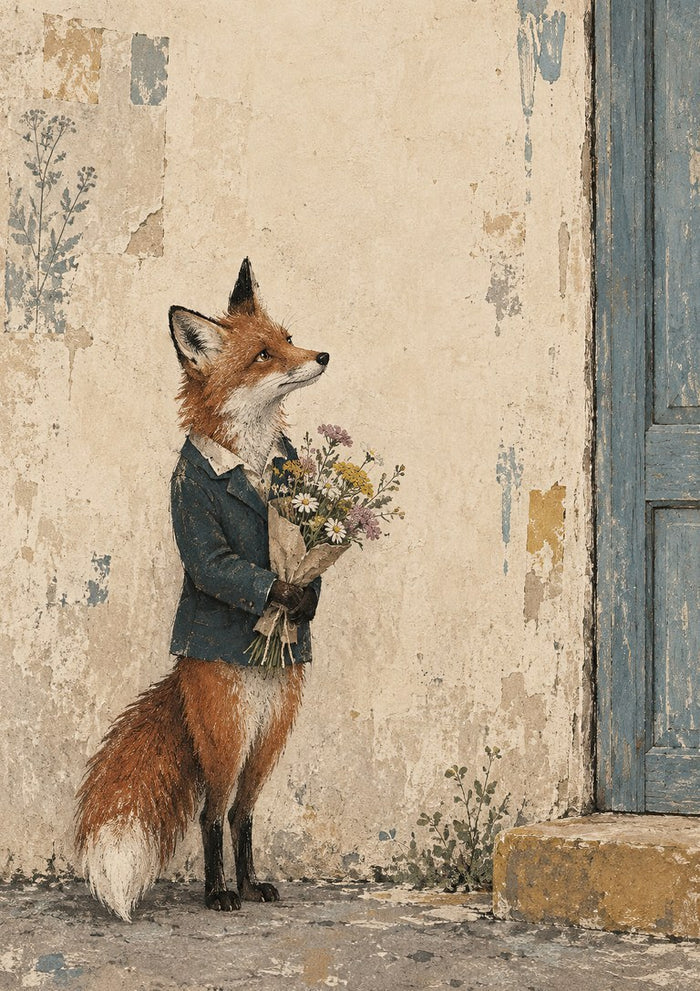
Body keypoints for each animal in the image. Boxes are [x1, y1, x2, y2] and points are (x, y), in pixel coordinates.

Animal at [75, 258, 330, 921]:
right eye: (263, 355)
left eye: (288, 338)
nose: (322, 355)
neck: (256, 459)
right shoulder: (194, 505)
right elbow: (221, 564)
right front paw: (285, 598)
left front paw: (304, 600)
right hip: (227, 737)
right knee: (212, 814)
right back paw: (219, 892)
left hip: (269, 737)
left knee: (242, 813)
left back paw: (251, 883)